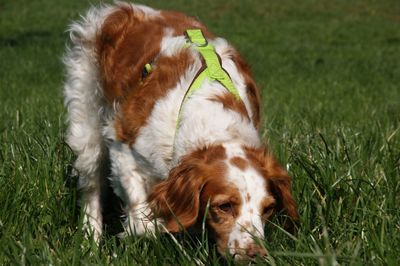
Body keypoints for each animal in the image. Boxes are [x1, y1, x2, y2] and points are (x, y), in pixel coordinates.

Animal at [64, 1, 298, 260]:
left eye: (268, 208)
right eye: (224, 206)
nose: (254, 253)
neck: (210, 116)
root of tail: (120, 8)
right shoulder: (123, 147)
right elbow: (144, 222)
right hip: (87, 124)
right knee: (91, 187)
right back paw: (90, 242)